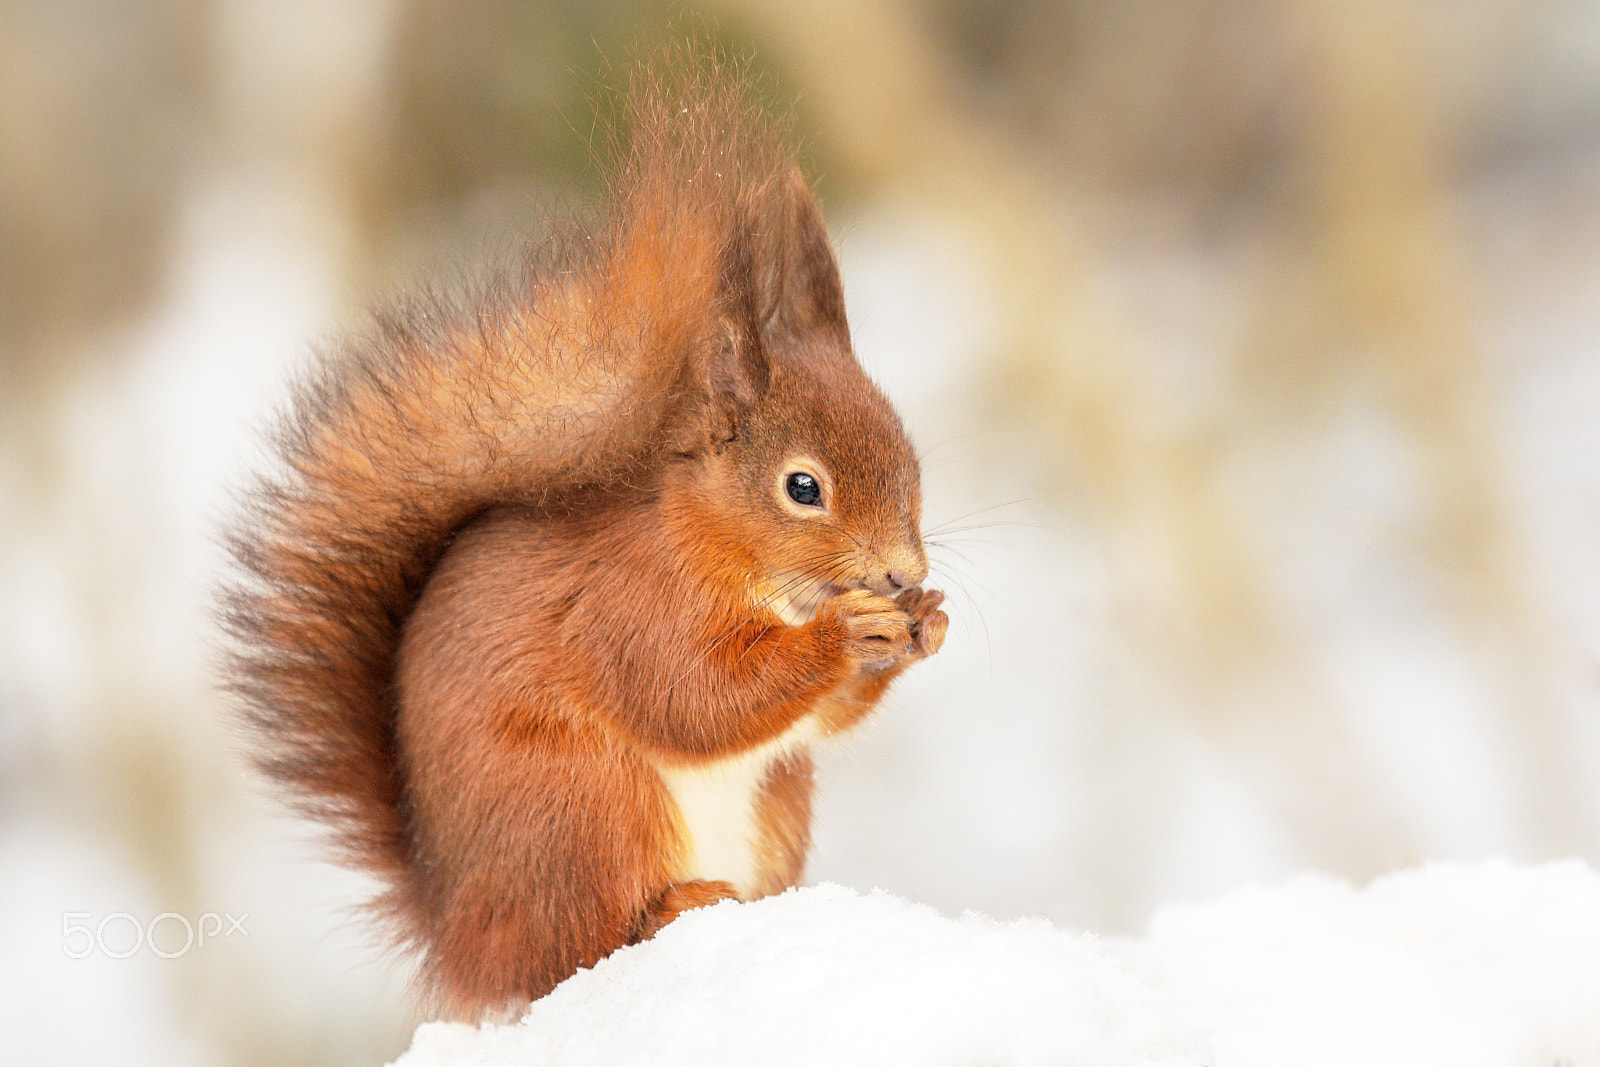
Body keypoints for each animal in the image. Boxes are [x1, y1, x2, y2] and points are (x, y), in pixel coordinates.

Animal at [224, 45, 947, 1020]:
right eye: (803, 488)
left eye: (910, 455)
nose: (904, 573)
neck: (723, 549)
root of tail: (457, 934)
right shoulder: (628, 600)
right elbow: (690, 693)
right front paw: (845, 634)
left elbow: (815, 717)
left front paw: (927, 624)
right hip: (580, 805)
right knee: (579, 944)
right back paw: (671, 906)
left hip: (774, 798)